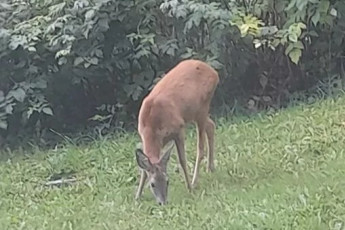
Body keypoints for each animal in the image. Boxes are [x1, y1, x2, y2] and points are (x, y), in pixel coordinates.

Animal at [134, 59, 218, 205]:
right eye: (152, 184)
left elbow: (182, 160)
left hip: (202, 107)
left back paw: (195, 181)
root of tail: (214, 73)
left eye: (167, 181)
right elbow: (144, 170)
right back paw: (210, 168)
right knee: (211, 125)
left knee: (200, 148)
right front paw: (137, 196)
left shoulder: (179, 128)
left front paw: (189, 187)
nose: (163, 202)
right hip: (196, 112)